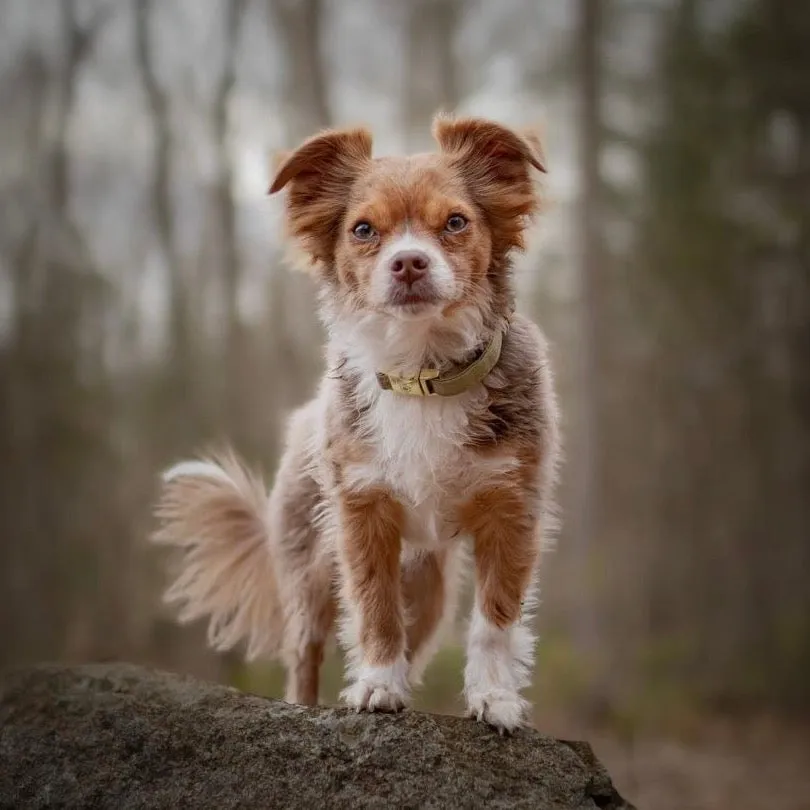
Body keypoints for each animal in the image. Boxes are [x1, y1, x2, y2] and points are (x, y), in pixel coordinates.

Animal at [150, 110, 556, 728]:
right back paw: (310, 700)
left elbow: (495, 620)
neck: (422, 371)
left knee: (421, 633)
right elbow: (374, 607)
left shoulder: (511, 512)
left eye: (456, 222)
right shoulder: (363, 514)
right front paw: (377, 686)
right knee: (305, 652)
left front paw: (494, 698)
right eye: (364, 230)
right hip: (312, 571)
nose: (409, 262)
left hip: (431, 587)